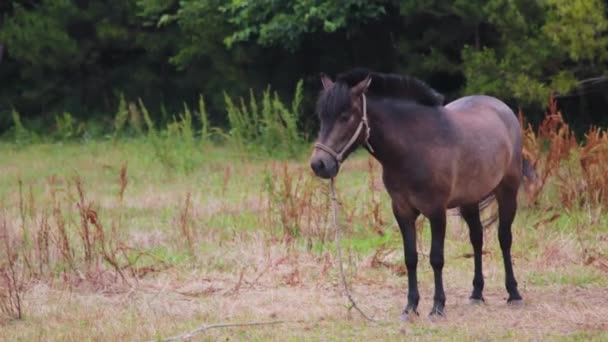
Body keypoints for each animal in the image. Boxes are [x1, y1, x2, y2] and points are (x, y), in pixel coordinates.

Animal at [308, 69, 532, 320]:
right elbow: (410, 258)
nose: (319, 164)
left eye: (345, 116)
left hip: (507, 192)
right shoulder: (402, 210)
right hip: (469, 200)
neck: (414, 147)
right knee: (477, 238)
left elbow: (436, 258)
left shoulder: (436, 211)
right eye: (322, 117)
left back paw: (514, 294)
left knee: (504, 238)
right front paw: (411, 307)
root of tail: (504, 110)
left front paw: (438, 306)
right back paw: (476, 293)